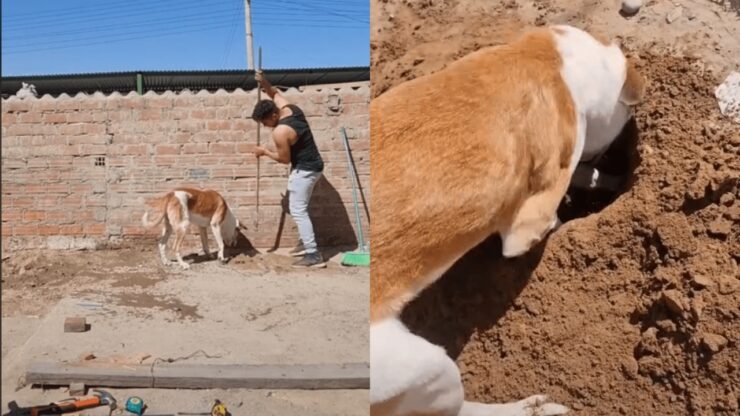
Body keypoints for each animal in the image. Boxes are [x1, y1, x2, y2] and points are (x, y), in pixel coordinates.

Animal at [368, 25, 644, 416]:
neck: (543, 58)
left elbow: (585, 174)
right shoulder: (524, 226)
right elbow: (545, 219)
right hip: (424, 367)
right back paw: (527, 408)